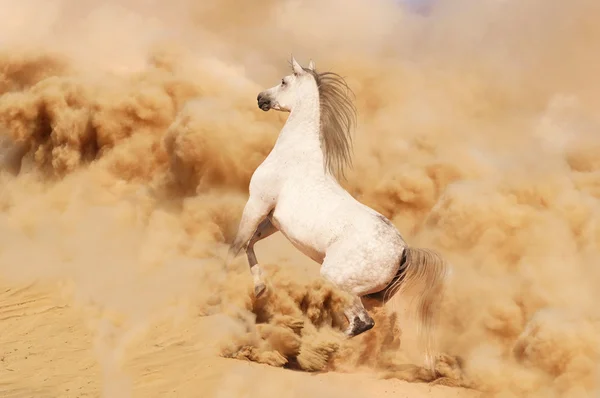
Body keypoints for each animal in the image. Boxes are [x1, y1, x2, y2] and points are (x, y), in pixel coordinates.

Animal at [230, 56, 450, 370]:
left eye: (284, 81)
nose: (261, 98)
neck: (295, 154)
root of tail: (403, 251)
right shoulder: (272, 220)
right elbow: (249, 243)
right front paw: (259, 288)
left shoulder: (257, 203)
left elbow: (236, 245)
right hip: (370, 295)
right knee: (365, 323)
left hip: (338, 280)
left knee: (361, 323)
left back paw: (313, 346)